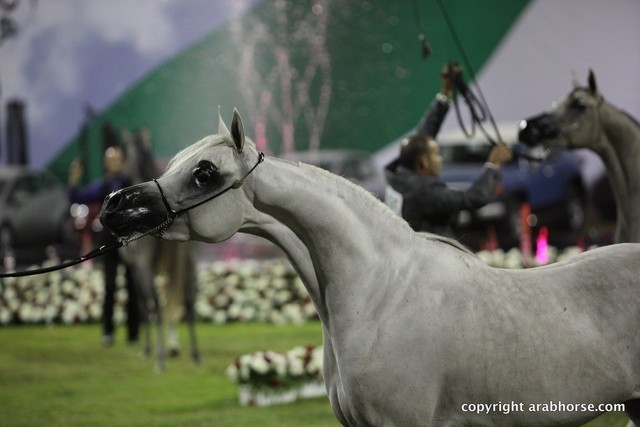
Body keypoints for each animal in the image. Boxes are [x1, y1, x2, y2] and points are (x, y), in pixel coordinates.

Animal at [120, 128, 201, 369]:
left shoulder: (137, 268)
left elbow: (145, 305)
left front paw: (148, 350)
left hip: (146, 268)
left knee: (154, 302)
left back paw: (160, 359)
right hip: (189, 264)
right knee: (188, 300)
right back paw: (195, 355)